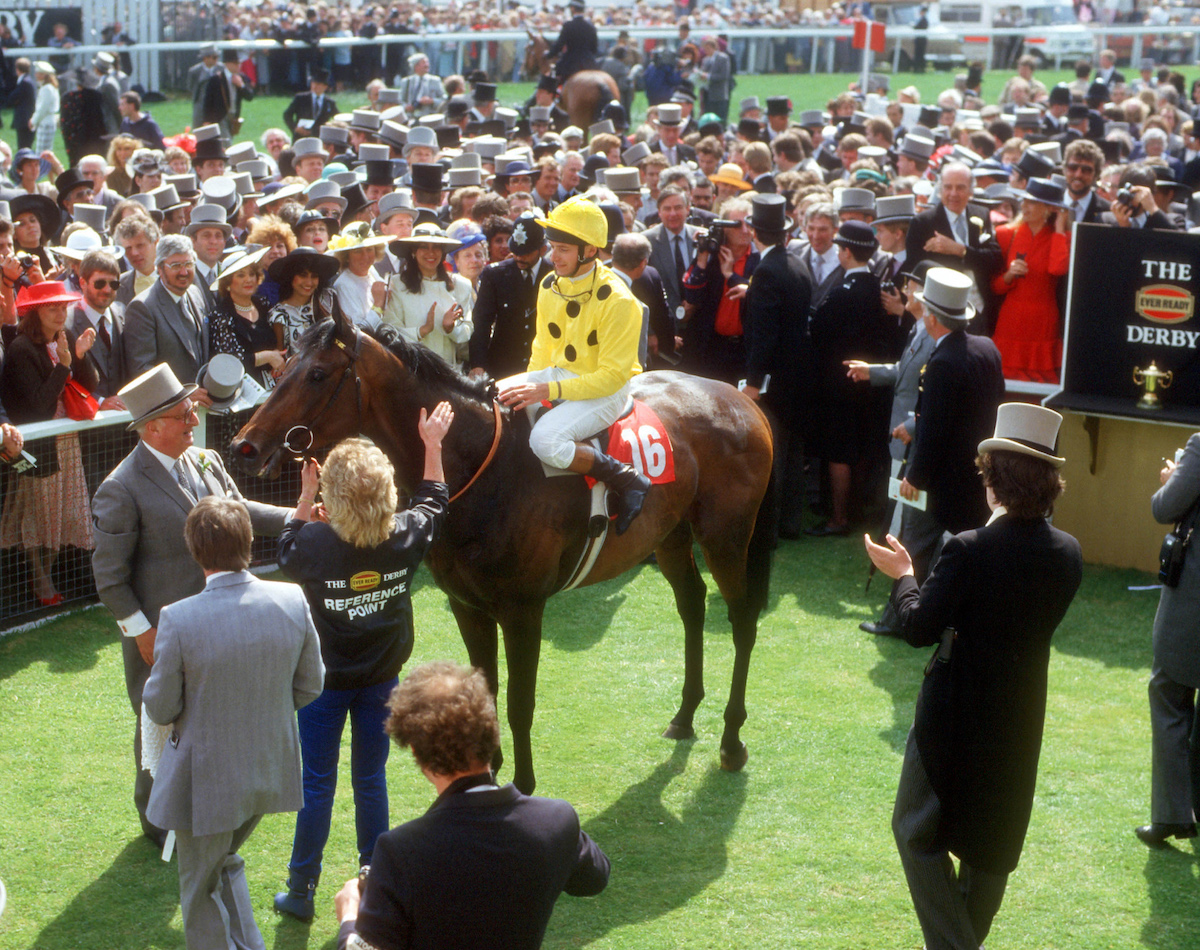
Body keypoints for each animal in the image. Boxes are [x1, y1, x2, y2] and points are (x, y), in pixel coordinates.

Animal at [231, 314, 777, 796]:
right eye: (282, 367)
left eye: (318, 374)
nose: (244, 446)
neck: (482, 467)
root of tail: (738, 397)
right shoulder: (467, 605)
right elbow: (486, 691)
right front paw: (483, 773)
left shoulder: (522, 610)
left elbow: (518, 702)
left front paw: (523, 783)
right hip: (670, 537)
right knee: (692, 605)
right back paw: (684, 717)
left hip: (726, 537)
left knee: (742, 619)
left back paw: (732, 740)